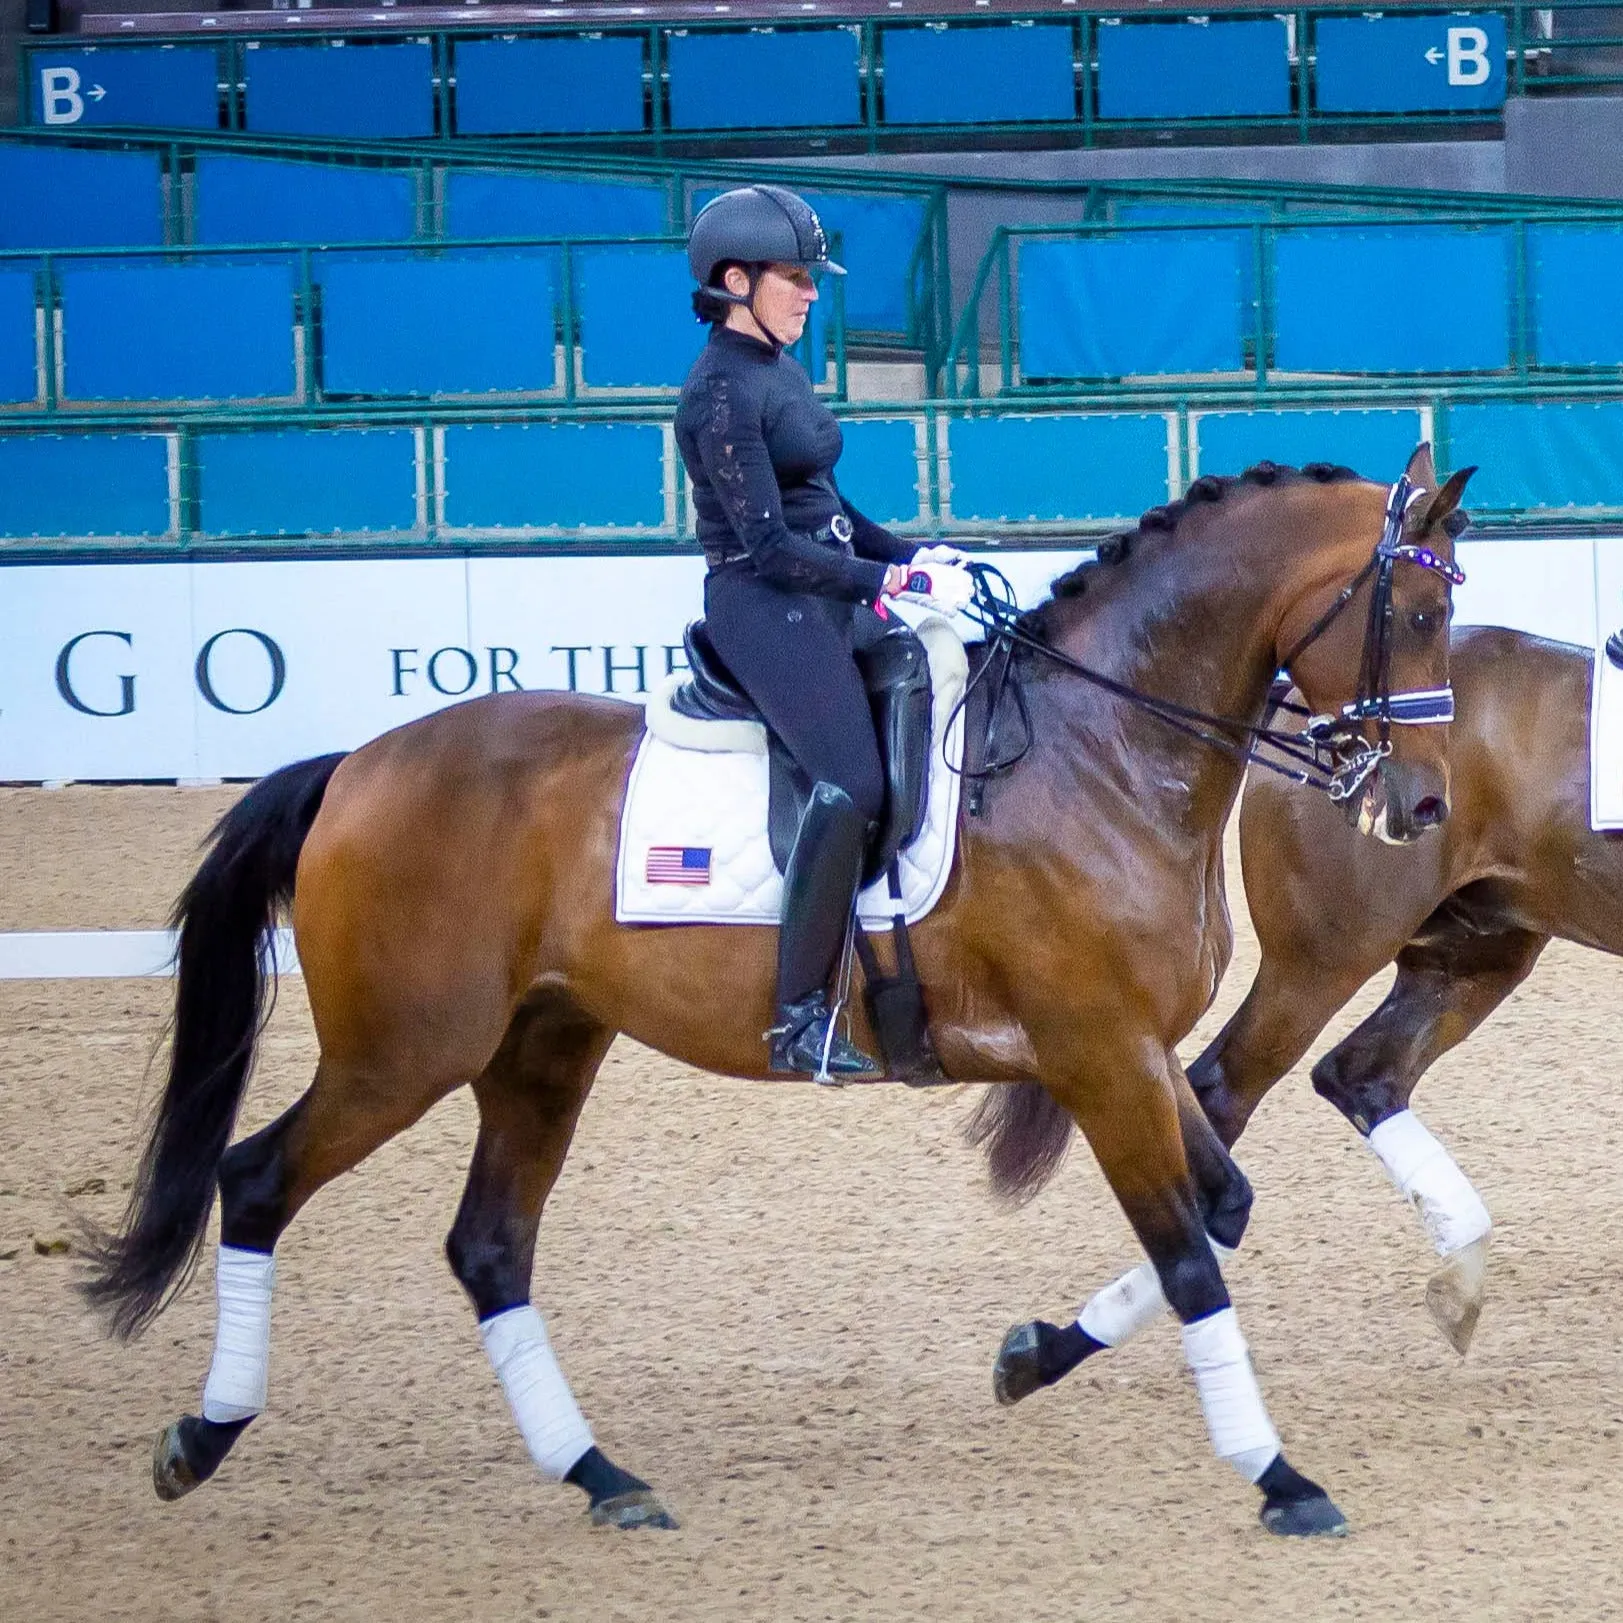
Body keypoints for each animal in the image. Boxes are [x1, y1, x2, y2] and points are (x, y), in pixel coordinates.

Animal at [79, 451, 1473, 1538]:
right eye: (1409, 610)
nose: (1422, 809)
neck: (1105, 753)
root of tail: (358, 764)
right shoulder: (1095, 1054)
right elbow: (1188, 1254)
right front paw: (1281, 1478)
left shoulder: (1128, 1051)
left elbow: (1220, 1213)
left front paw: (1032, 1355)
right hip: (405, 1050)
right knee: (259, 1179)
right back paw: (201, 1439)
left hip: (542, 1045)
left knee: (489, 1245)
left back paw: (602, 1477)